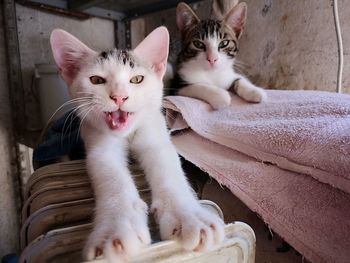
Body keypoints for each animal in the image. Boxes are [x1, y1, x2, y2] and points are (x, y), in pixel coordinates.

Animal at [49, 26, 224, 262]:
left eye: (137, 79)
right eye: (96, 80)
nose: (119, 97)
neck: (128, 133)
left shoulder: (155, 132)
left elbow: (169, 167)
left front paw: (189, 217)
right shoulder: (97, 143)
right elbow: (111, 177)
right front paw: (115, 229)